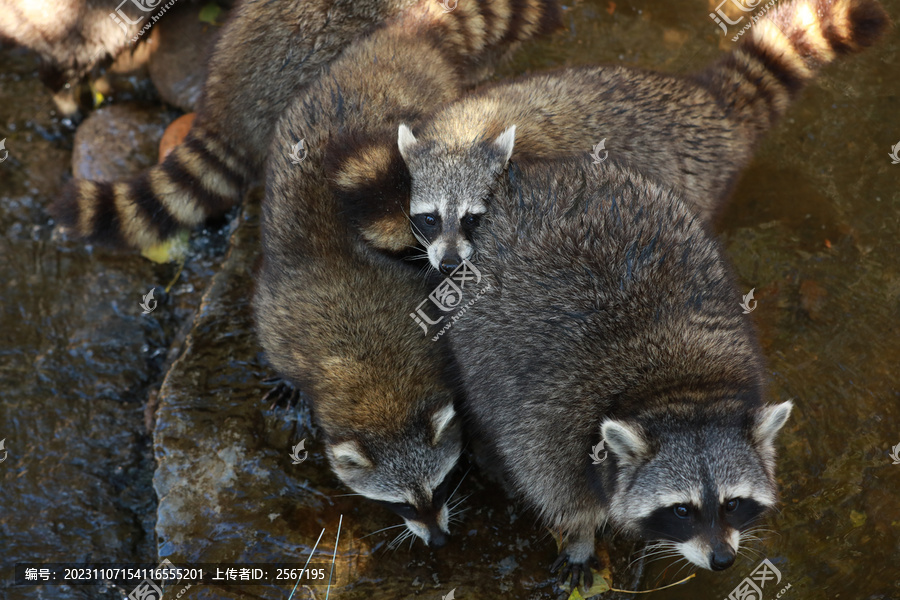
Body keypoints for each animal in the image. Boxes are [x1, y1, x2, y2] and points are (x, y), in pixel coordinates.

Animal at [256, 0, 560, 544]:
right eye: (400, 504)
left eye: (441, 487)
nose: (438, 540)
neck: (374, 381)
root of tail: (392, 45)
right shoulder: (286, 322)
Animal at [326, 0, 888, 272]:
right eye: (426, 217)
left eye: (472, 219)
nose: (444, 264)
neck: (469, 130)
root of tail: (707, 105)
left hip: (695, 180)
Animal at [444, 154, 796, 584]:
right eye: (682, 510)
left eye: (732, 503)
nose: (722, 560)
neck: (679, 390)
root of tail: (534, 174)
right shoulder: (548, 424)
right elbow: (557, 491)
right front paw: (580, 535)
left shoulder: (740, 361)